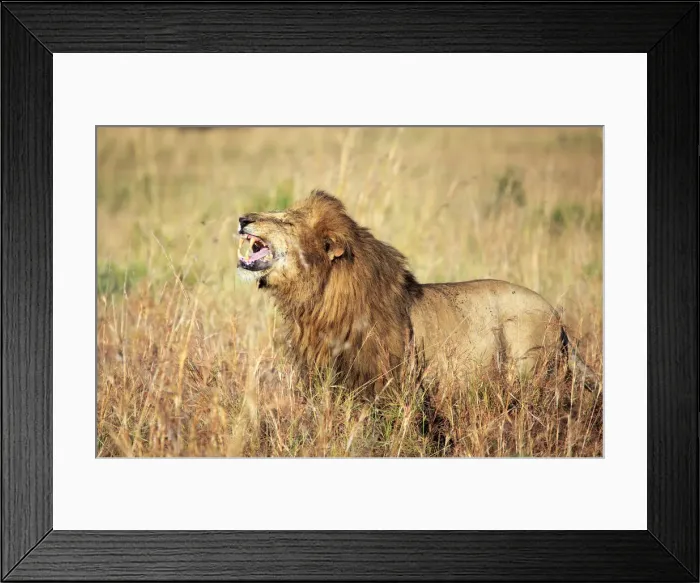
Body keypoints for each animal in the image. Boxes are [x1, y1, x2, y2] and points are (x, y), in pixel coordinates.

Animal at [237, 190, 600, 396]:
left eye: (287, 222)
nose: (242, 218)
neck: (317, 298)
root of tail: (557, 317)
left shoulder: (382, 380)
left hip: (527, 372)